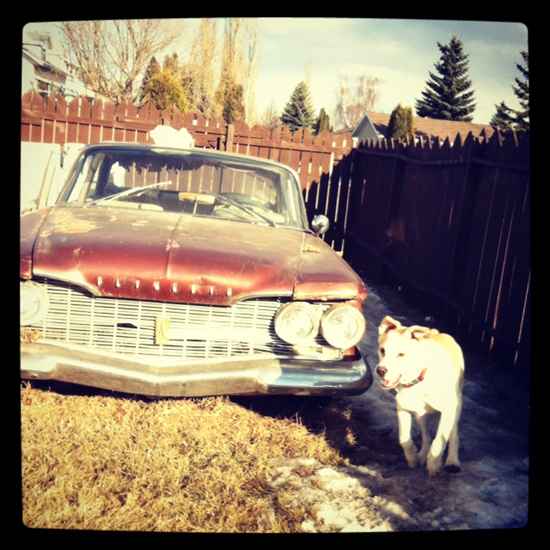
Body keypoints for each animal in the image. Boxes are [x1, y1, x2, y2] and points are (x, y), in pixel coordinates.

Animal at [376, 316, 466, 476]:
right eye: (382, 350)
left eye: (401, 354)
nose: (380, 370)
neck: (419, 379)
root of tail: (438, 333)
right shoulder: (403, 409)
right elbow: (404, 438)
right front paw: (412, 458)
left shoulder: (449, 409)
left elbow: (440, 439)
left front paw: (434, 463)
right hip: (420, 414)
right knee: (426, 435)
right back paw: (422, 454)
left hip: (456, 406)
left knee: (453, 433)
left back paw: (452, 461)